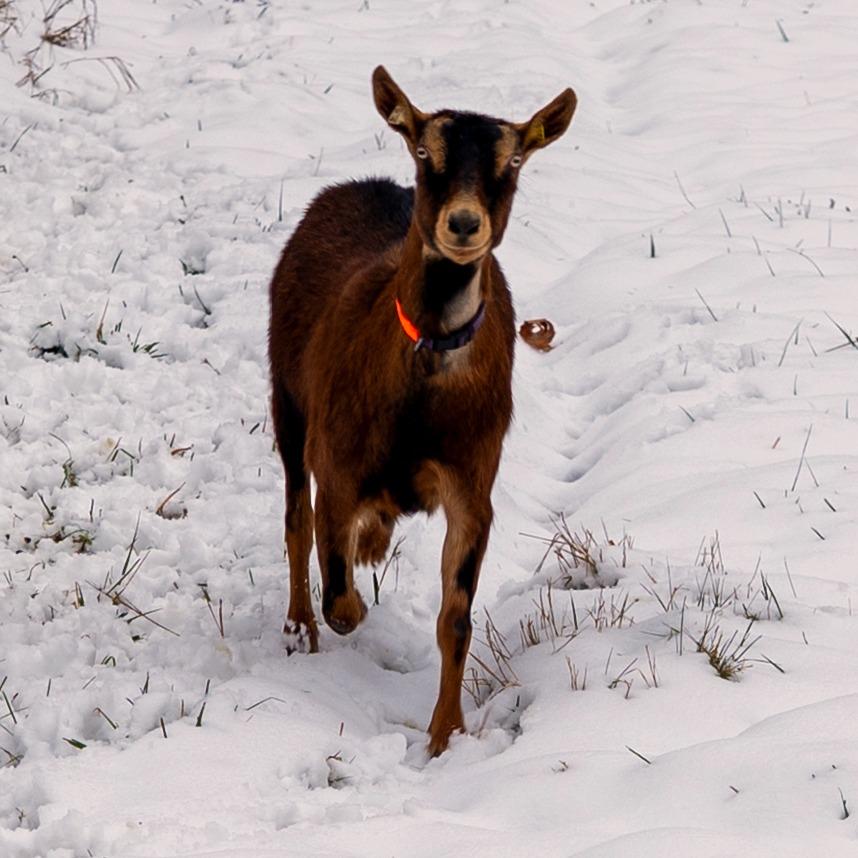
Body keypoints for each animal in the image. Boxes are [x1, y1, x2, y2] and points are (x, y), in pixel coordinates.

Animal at [268, 66, 576, 756]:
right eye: (424, 151)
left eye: (512, 160)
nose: (462, 224)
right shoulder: (337, 456)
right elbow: (338, 589)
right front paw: (344, 607)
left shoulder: (471, 480)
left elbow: (455, 618)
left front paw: (445, 734)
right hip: (286, 398)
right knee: (296, 517)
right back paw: (299, 628)